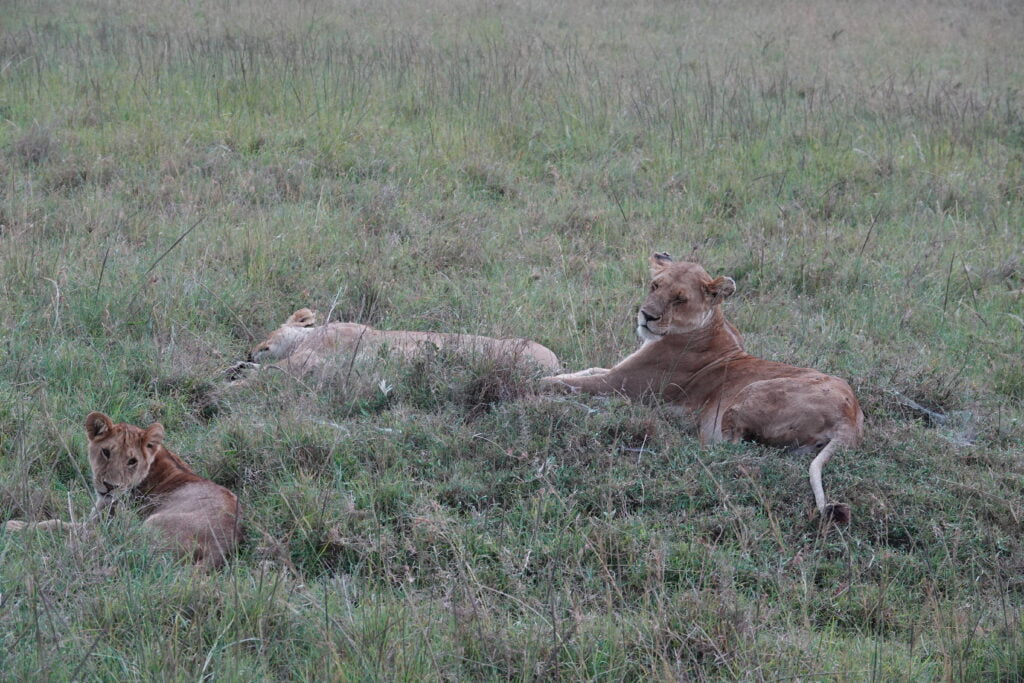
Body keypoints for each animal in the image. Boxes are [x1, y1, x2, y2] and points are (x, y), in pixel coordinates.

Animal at [5, 411, 239, 565]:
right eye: (106, 452)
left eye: (132, 461)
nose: (110, 486)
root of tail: (220, 548)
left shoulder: (100, 523)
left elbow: (58, 524)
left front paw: (15, 525)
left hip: (146, 528)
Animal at [544, 253, 864, 528]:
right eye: (655, 286)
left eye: (680, 299)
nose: (646, 316)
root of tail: (851, 418)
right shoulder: (613, 374)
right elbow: (580, 372)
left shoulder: (619, 384)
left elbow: (567, 383)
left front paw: (537, 386)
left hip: (747, 394)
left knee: (727, 449)